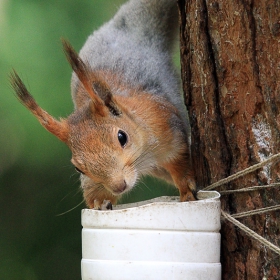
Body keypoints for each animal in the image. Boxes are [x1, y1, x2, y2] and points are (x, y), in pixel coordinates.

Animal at [9, 0, 197, 208]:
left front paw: (187, 190)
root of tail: (123, 25)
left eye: (122, 137)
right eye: (78, 168)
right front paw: (99, 202)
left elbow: (179, 160)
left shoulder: (166, 127)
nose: (119, 186)